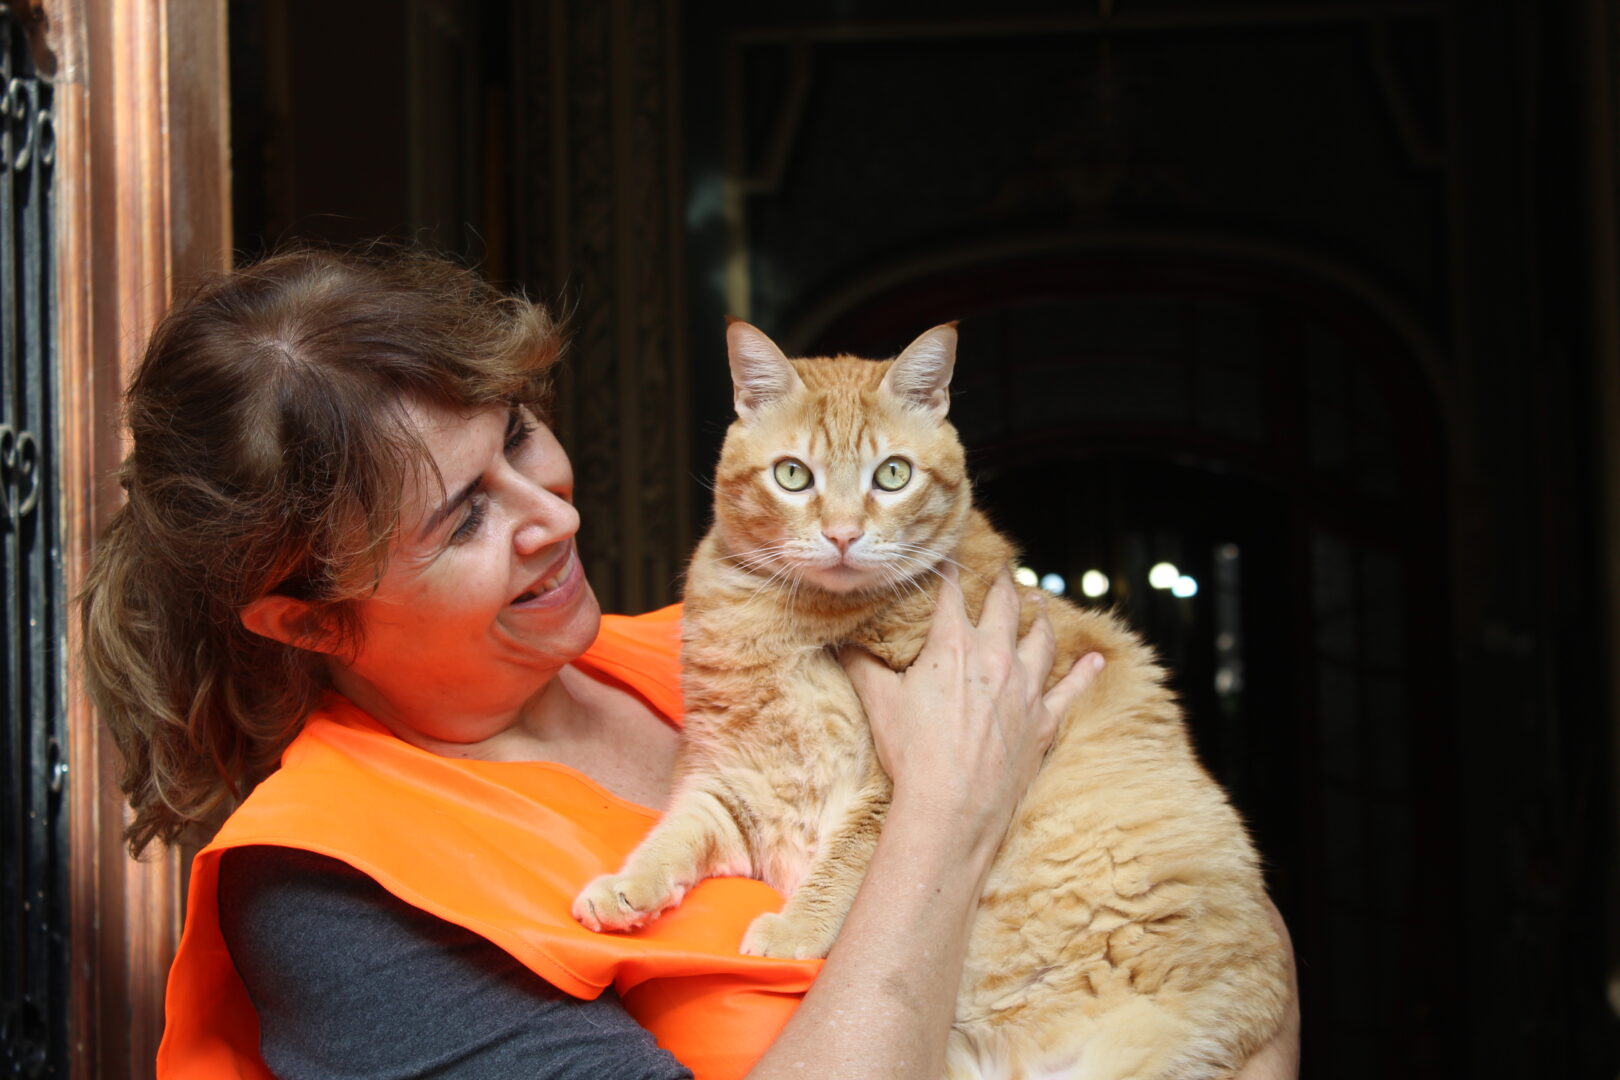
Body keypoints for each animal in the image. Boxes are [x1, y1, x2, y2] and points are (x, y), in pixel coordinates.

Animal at [576, 320, 1283, 1080]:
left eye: (893, 475)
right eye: (793, 475)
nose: (844, 534)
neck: (793, 622)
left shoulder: (885, 789)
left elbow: (843, 865)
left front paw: (793, 927)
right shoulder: (735, 784)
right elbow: (674, 837)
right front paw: (626, 887)